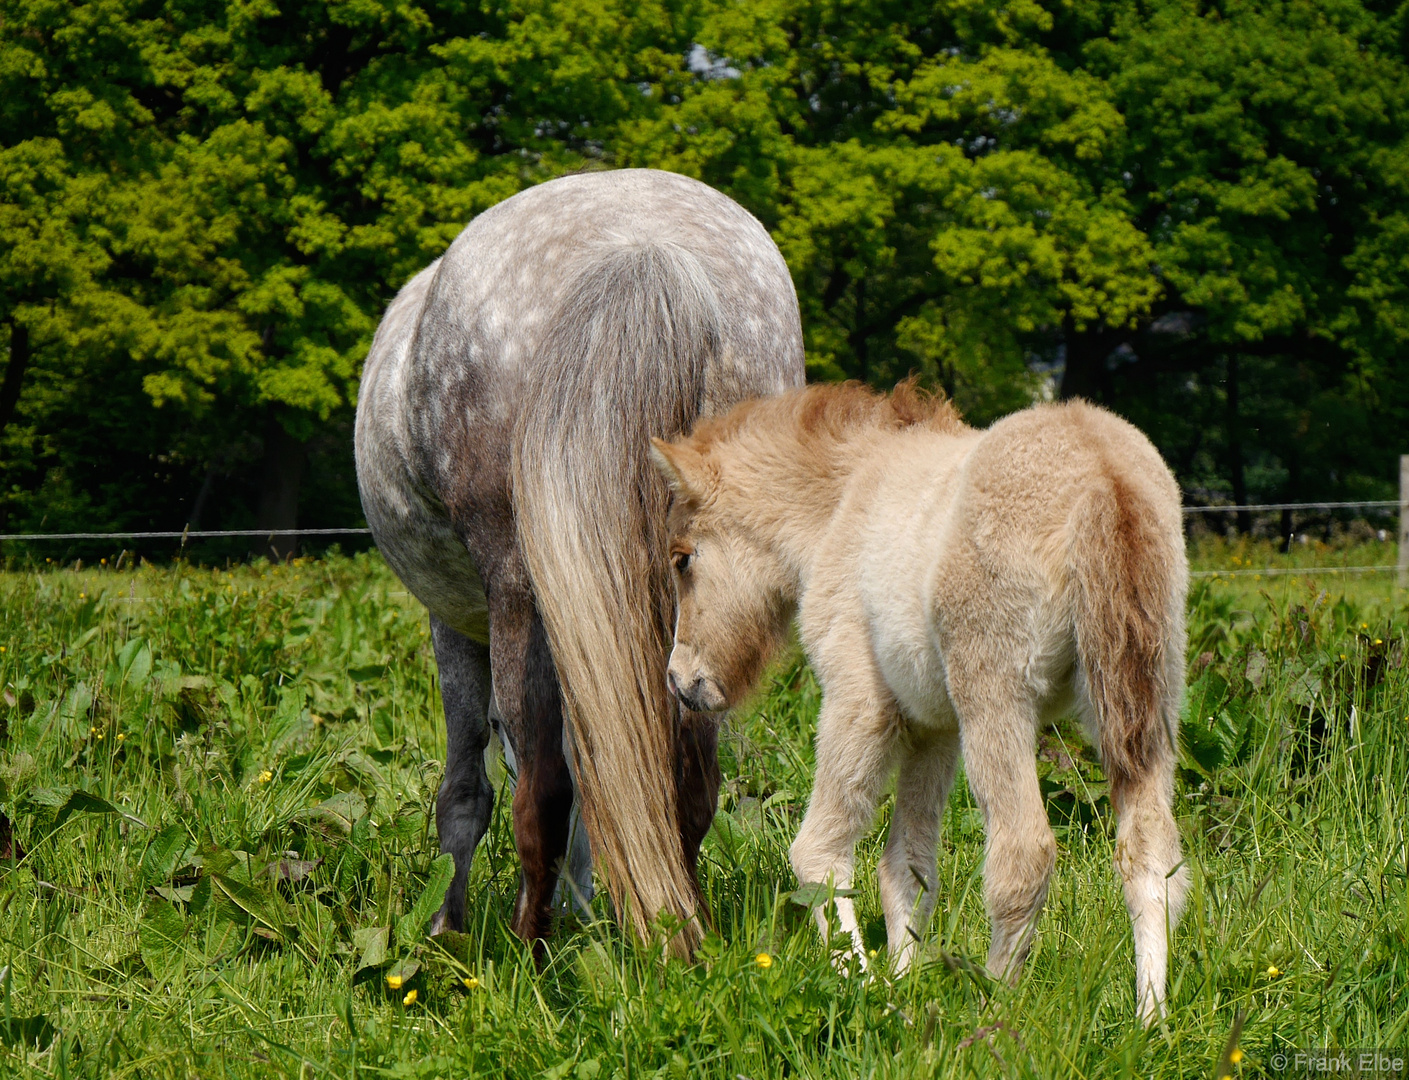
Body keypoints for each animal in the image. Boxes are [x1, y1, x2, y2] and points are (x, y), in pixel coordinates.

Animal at [357, 171, 805, 957]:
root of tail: (644, 243)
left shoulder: (455, 624)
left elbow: (468, 790)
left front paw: (446, 928)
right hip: (690, 611)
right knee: (685, 781)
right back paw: (681, 932)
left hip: (517, 593)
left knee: (539, 789)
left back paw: (526, 955)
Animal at [648, 382, 1189, 1025]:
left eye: (682, 558)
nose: (681, 681)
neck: (842, 502)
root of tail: (1104, 473)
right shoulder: (934, 729)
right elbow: (908, 865)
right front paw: (903, 980)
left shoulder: (858, 700)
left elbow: (819, 852)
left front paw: (861, 988)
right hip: (1146, 703)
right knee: (1152, 852)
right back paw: (1151, 1020)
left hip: (997, 698)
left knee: (1023, 854)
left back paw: (991, 1013)